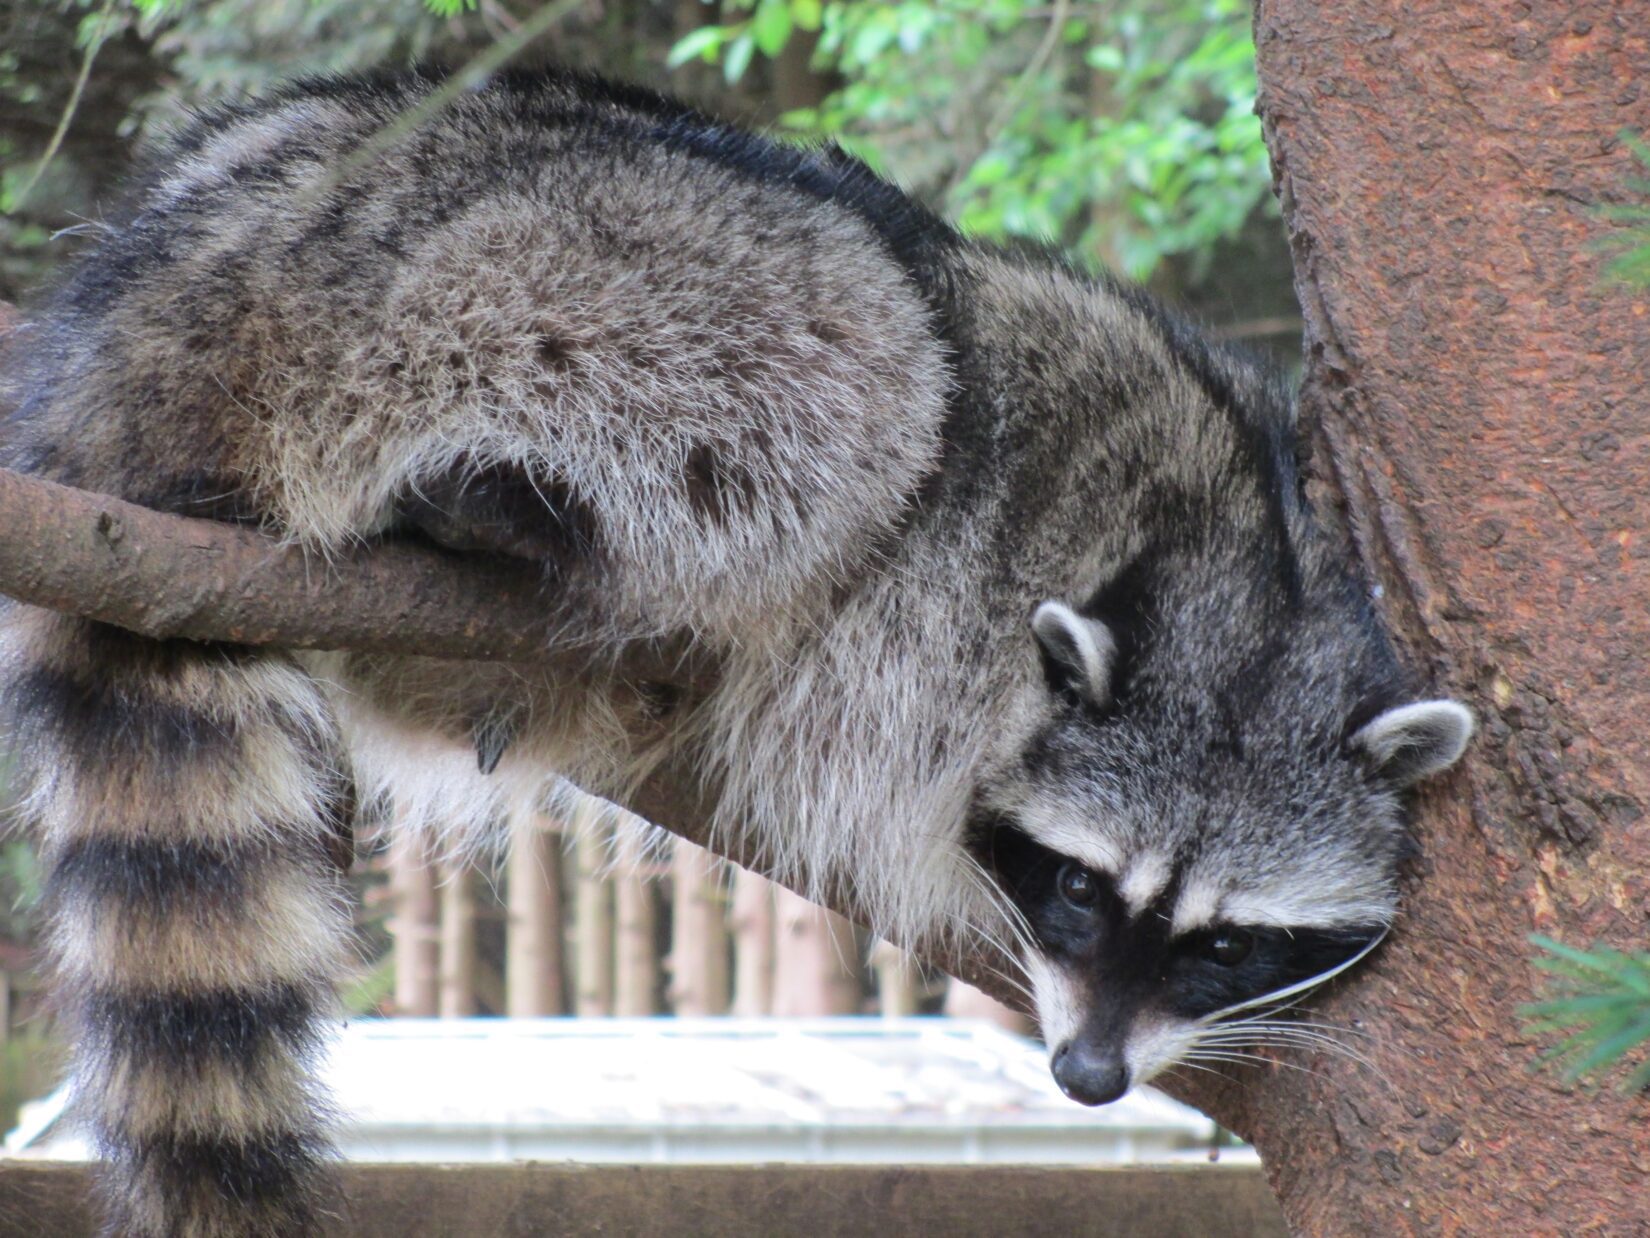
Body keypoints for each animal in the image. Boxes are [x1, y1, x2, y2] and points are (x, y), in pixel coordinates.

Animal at [0, 70, 1471, 1238]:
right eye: (1078, 890)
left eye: (1228, 944)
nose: (1089, 1077)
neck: (1246, 592)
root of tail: (167, 290)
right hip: (526, 280)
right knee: (877, 355)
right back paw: (502, 510)